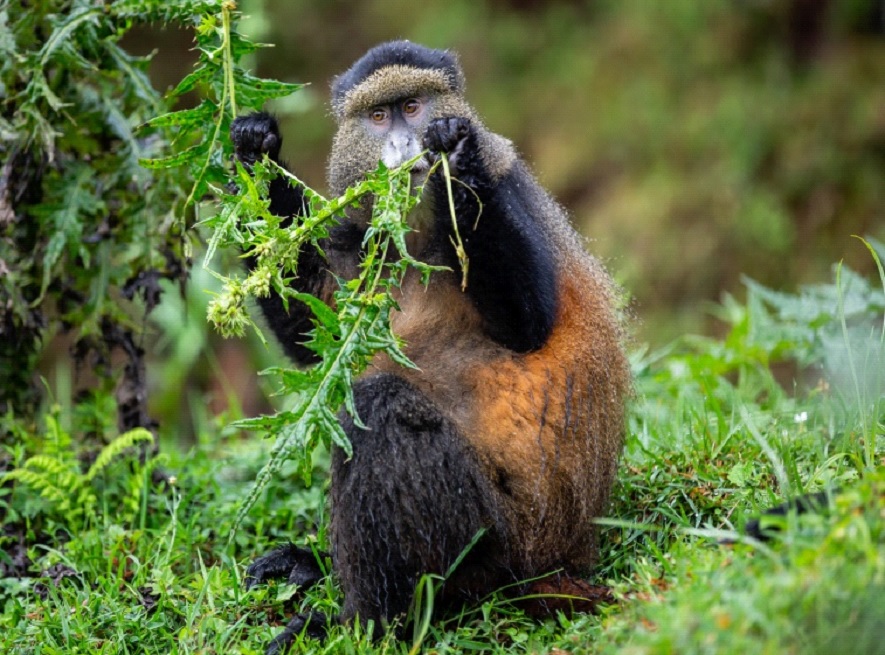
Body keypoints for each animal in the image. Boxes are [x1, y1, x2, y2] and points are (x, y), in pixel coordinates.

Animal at [230, 40, 631, 652]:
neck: (416, 234)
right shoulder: (358, 241)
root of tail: (565, 556)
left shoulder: (507, 184)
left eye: (413, 107)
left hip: (495, 547)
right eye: (378, 116)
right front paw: (255, 149)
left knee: (381, 409)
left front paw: (455, 151)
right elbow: (317, 341)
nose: (402, 145)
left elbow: (529, 325)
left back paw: (358, 622)